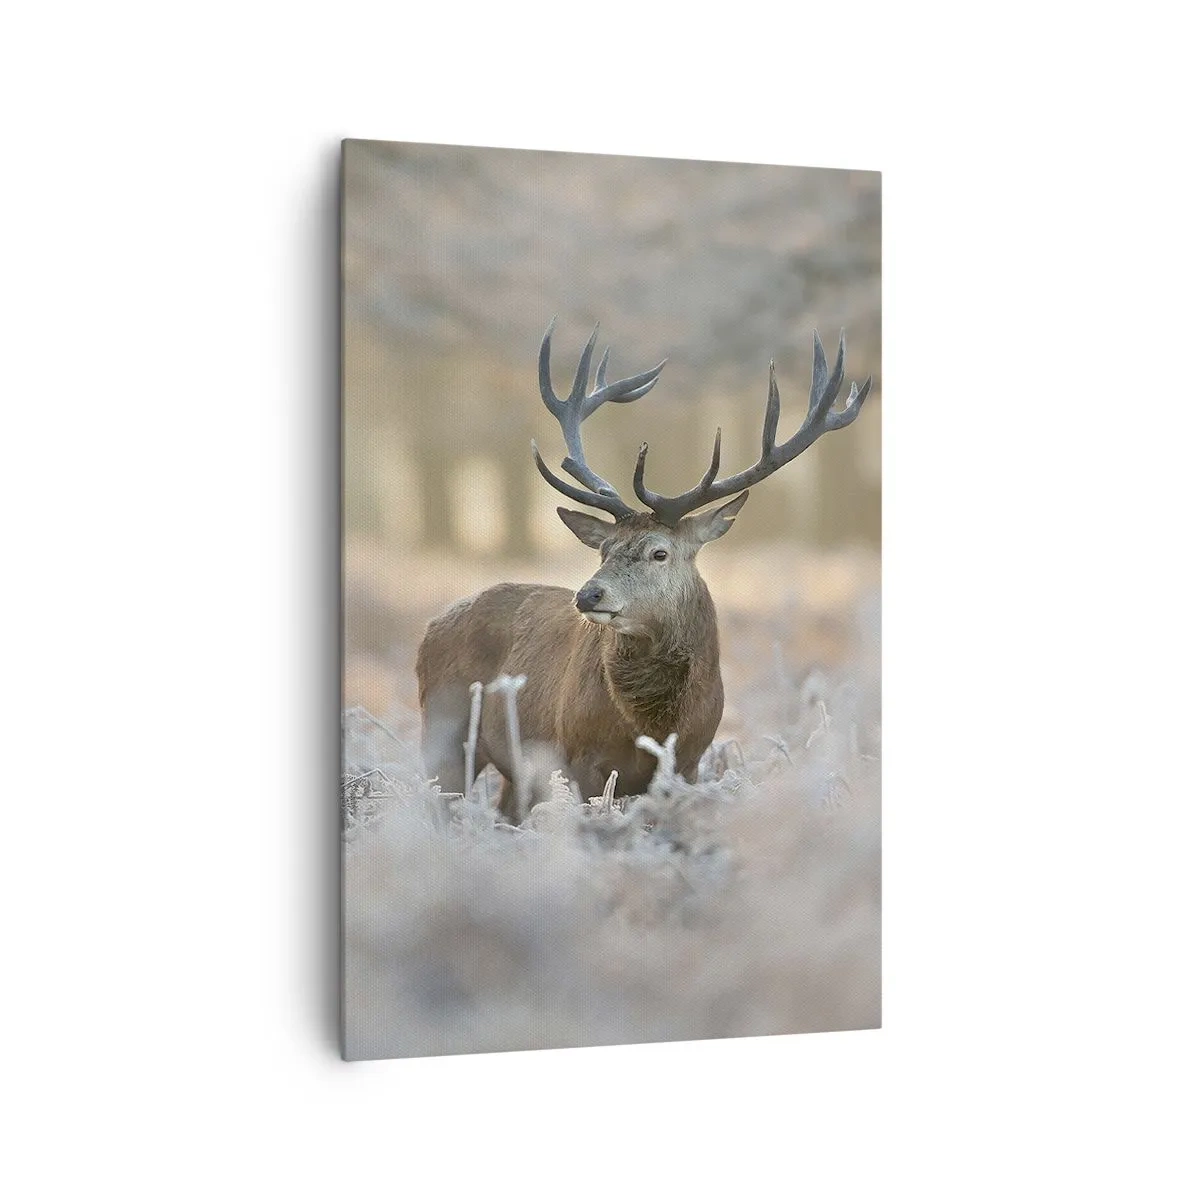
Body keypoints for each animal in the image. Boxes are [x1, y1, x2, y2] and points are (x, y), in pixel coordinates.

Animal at [416, 320, 872, 824]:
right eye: (604, 550)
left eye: (660, 553)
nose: (588, 595)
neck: (651, 724)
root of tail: (432, 626)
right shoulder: (577, 758)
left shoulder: (688, 762)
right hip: (443, 730)